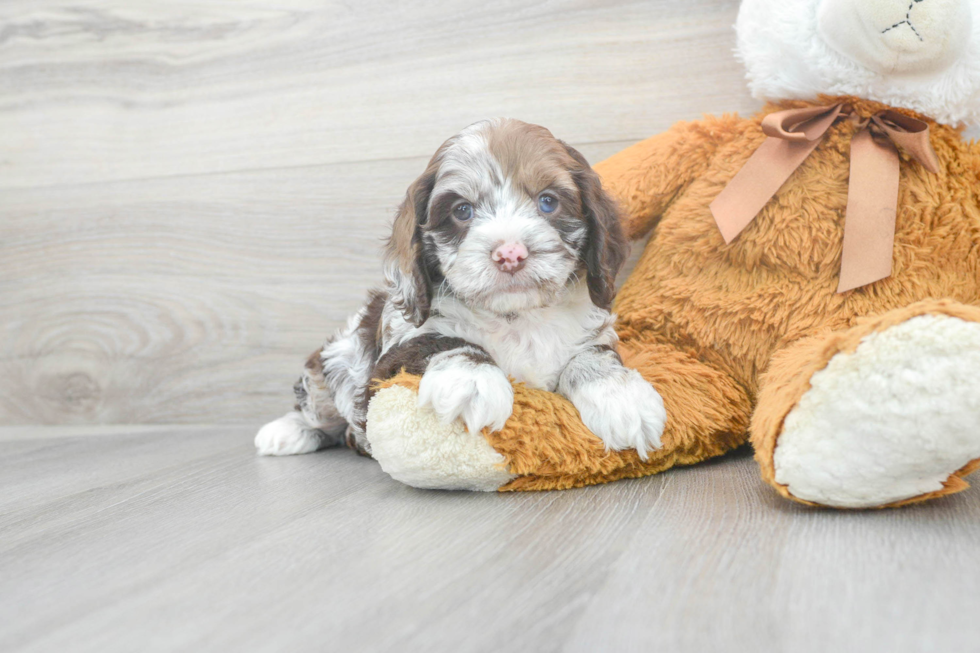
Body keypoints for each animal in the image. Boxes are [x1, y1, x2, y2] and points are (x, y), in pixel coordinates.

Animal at [255, 119, 668, 460]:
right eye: (462, 210)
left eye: (548, 201)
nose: (510, 253)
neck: (515, 317)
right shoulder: (391, 358)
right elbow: (441, 342)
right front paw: (472, 381)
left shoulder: (589, 333)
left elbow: (592, 357)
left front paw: (621, 397)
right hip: (334, 360)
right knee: (316, 407)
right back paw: (284, 433)